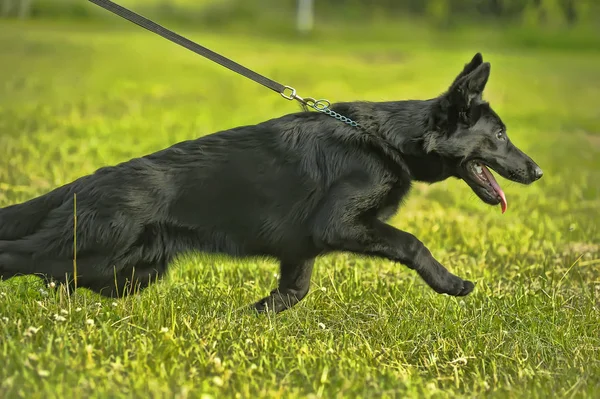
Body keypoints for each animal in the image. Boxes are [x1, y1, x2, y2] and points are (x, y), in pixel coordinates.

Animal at [0, 53, 544, 314]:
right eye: (500, 135)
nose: (538, 172)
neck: (387, 138)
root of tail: (85, 182)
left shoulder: (300, 249)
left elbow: (292, 292)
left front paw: (244, 319)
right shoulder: (339, 225)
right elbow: (412, 243)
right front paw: (450, 282)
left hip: (122, 273)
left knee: (52, 275)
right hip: (95, 252)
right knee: (15, 256)